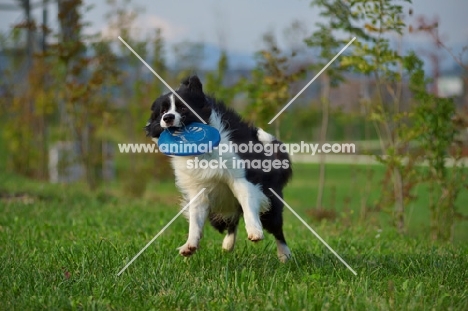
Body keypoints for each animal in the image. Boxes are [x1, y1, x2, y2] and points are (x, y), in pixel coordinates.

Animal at [145, 76, 292, 264]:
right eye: (162, 111)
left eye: (183, 108)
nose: (168, 117)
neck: (203, 153)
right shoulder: (197, 188)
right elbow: (195, 217)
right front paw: (189, 245)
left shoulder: (241, 178)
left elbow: (248, 202)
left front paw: (254, 231)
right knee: (232, 222)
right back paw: (227, 244)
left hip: (271, 201)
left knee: (276, 227)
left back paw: (284, 254)